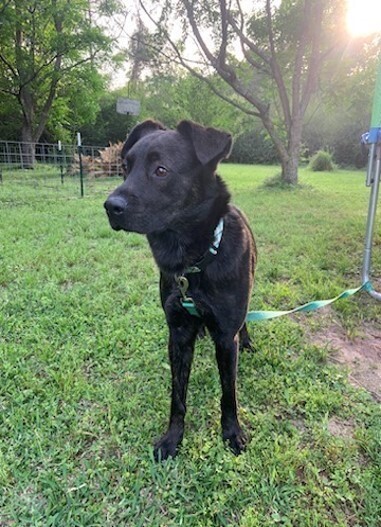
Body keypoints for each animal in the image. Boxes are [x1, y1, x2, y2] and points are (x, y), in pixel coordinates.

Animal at [104, 120, 255, 462]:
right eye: (125, 168)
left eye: (161, 170)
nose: (109, 207)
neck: (194, 262)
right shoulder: (178, 334)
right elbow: (178, 395)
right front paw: (173, 438)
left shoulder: (225, 336)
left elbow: (229, 392)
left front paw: (232, 433)